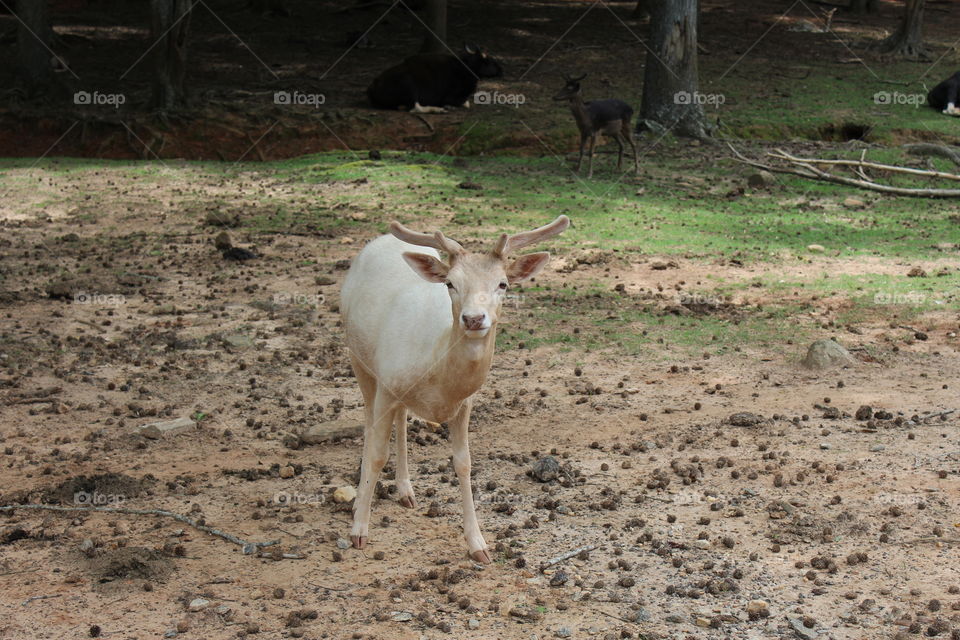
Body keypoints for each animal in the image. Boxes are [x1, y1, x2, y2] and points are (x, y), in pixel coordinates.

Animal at [340, 215, 570, 562]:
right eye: (450, 283)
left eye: (503, 284)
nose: (474, 318)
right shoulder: (387, 385)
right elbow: (378, 453)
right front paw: (359, 531)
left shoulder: (464, 404)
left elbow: (464, 463)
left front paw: (478, 545)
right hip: (358, 358)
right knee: (369, 420)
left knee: (402, 419)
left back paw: (406, 491)